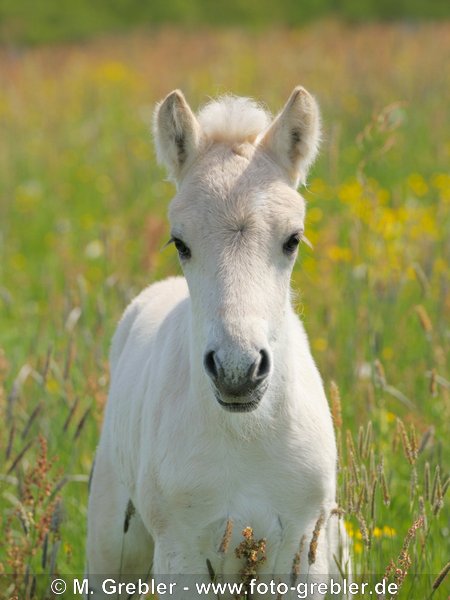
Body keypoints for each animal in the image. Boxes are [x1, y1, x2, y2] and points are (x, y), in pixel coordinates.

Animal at [87, 86, 348, 596]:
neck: (247, 434)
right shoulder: (183, 553)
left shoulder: (301, 551)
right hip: (112, 542)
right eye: (180, 242)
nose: (237, 371)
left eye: (293, 239)